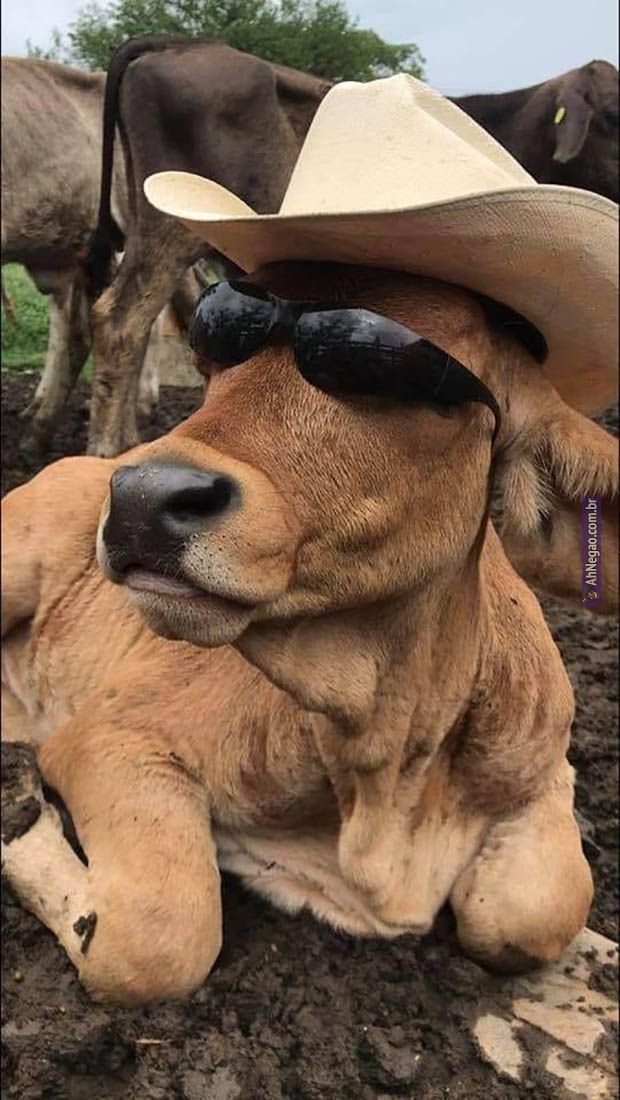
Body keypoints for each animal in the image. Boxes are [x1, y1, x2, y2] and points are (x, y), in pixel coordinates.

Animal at [2, 262, 617, 1006]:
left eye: (383, 371)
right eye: (215, 350)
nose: (142, 497)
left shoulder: (547, 765)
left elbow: (537, 909)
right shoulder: (111, 736)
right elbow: (158, 938)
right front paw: (17, 814)